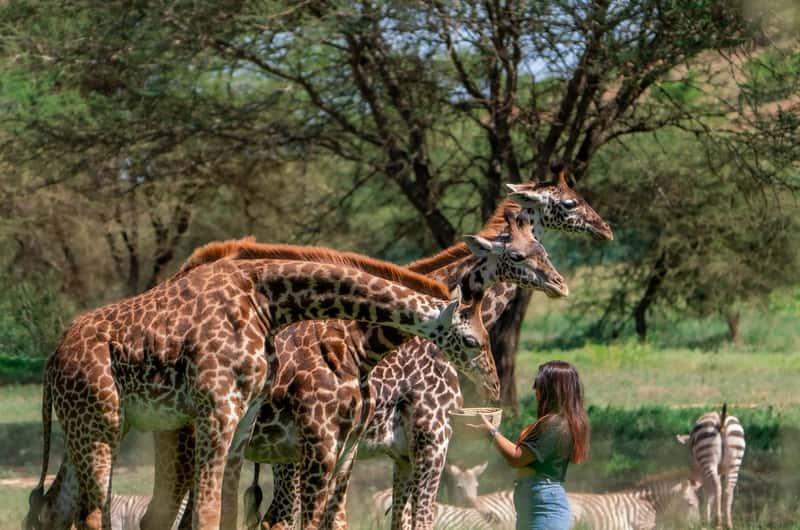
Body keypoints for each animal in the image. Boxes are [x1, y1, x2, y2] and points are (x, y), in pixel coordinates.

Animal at [26, 247, 496, 530]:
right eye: (474, 341)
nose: (492, 386)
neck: (267, 302)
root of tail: (52, 362)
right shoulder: (219, 412)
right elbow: (212, 514)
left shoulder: (244, 421)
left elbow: (231, 513)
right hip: (101, 424)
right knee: (92, 513)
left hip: (97, 426)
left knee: (59, 506)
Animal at [248, 163, 614, 530]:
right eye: (569, 203)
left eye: (544, 251)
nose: (606, 229)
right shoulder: (433, 439)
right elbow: (423, 519)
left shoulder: (402, 453)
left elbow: (401, 521)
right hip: (294, 450)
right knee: (279, 518)